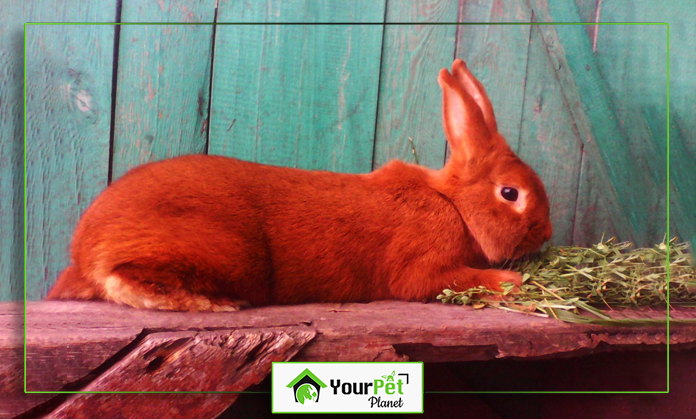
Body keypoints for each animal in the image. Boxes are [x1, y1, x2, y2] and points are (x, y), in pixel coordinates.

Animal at [46, 60, 552, 314]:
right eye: (510, 194)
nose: (546, 234)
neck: (453, 204)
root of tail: (83, 252)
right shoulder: (420, 270)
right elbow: (442, 281)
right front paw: (510, 281)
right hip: (226, 252)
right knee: (122, 279)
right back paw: (214, 303)